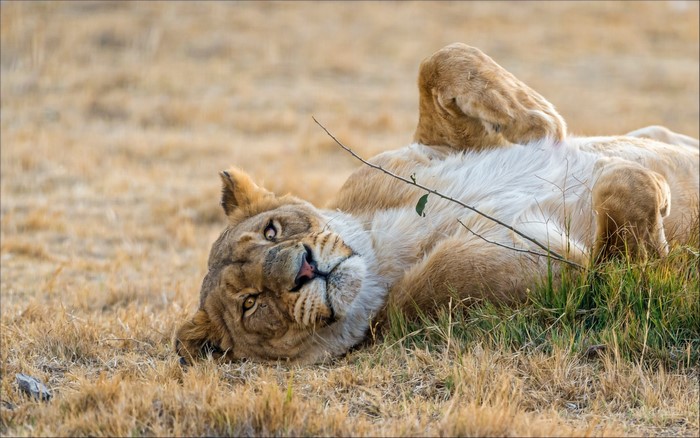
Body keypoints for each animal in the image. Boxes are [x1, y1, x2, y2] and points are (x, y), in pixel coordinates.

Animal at [176, 43, 699, 365]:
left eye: (272, 231)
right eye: (251, 304)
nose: (303, 268)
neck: (381, 249)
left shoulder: (425, 148)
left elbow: (441, 61)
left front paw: (540, 122)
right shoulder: (576, 287)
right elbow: (623, 222)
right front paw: (650, 193)